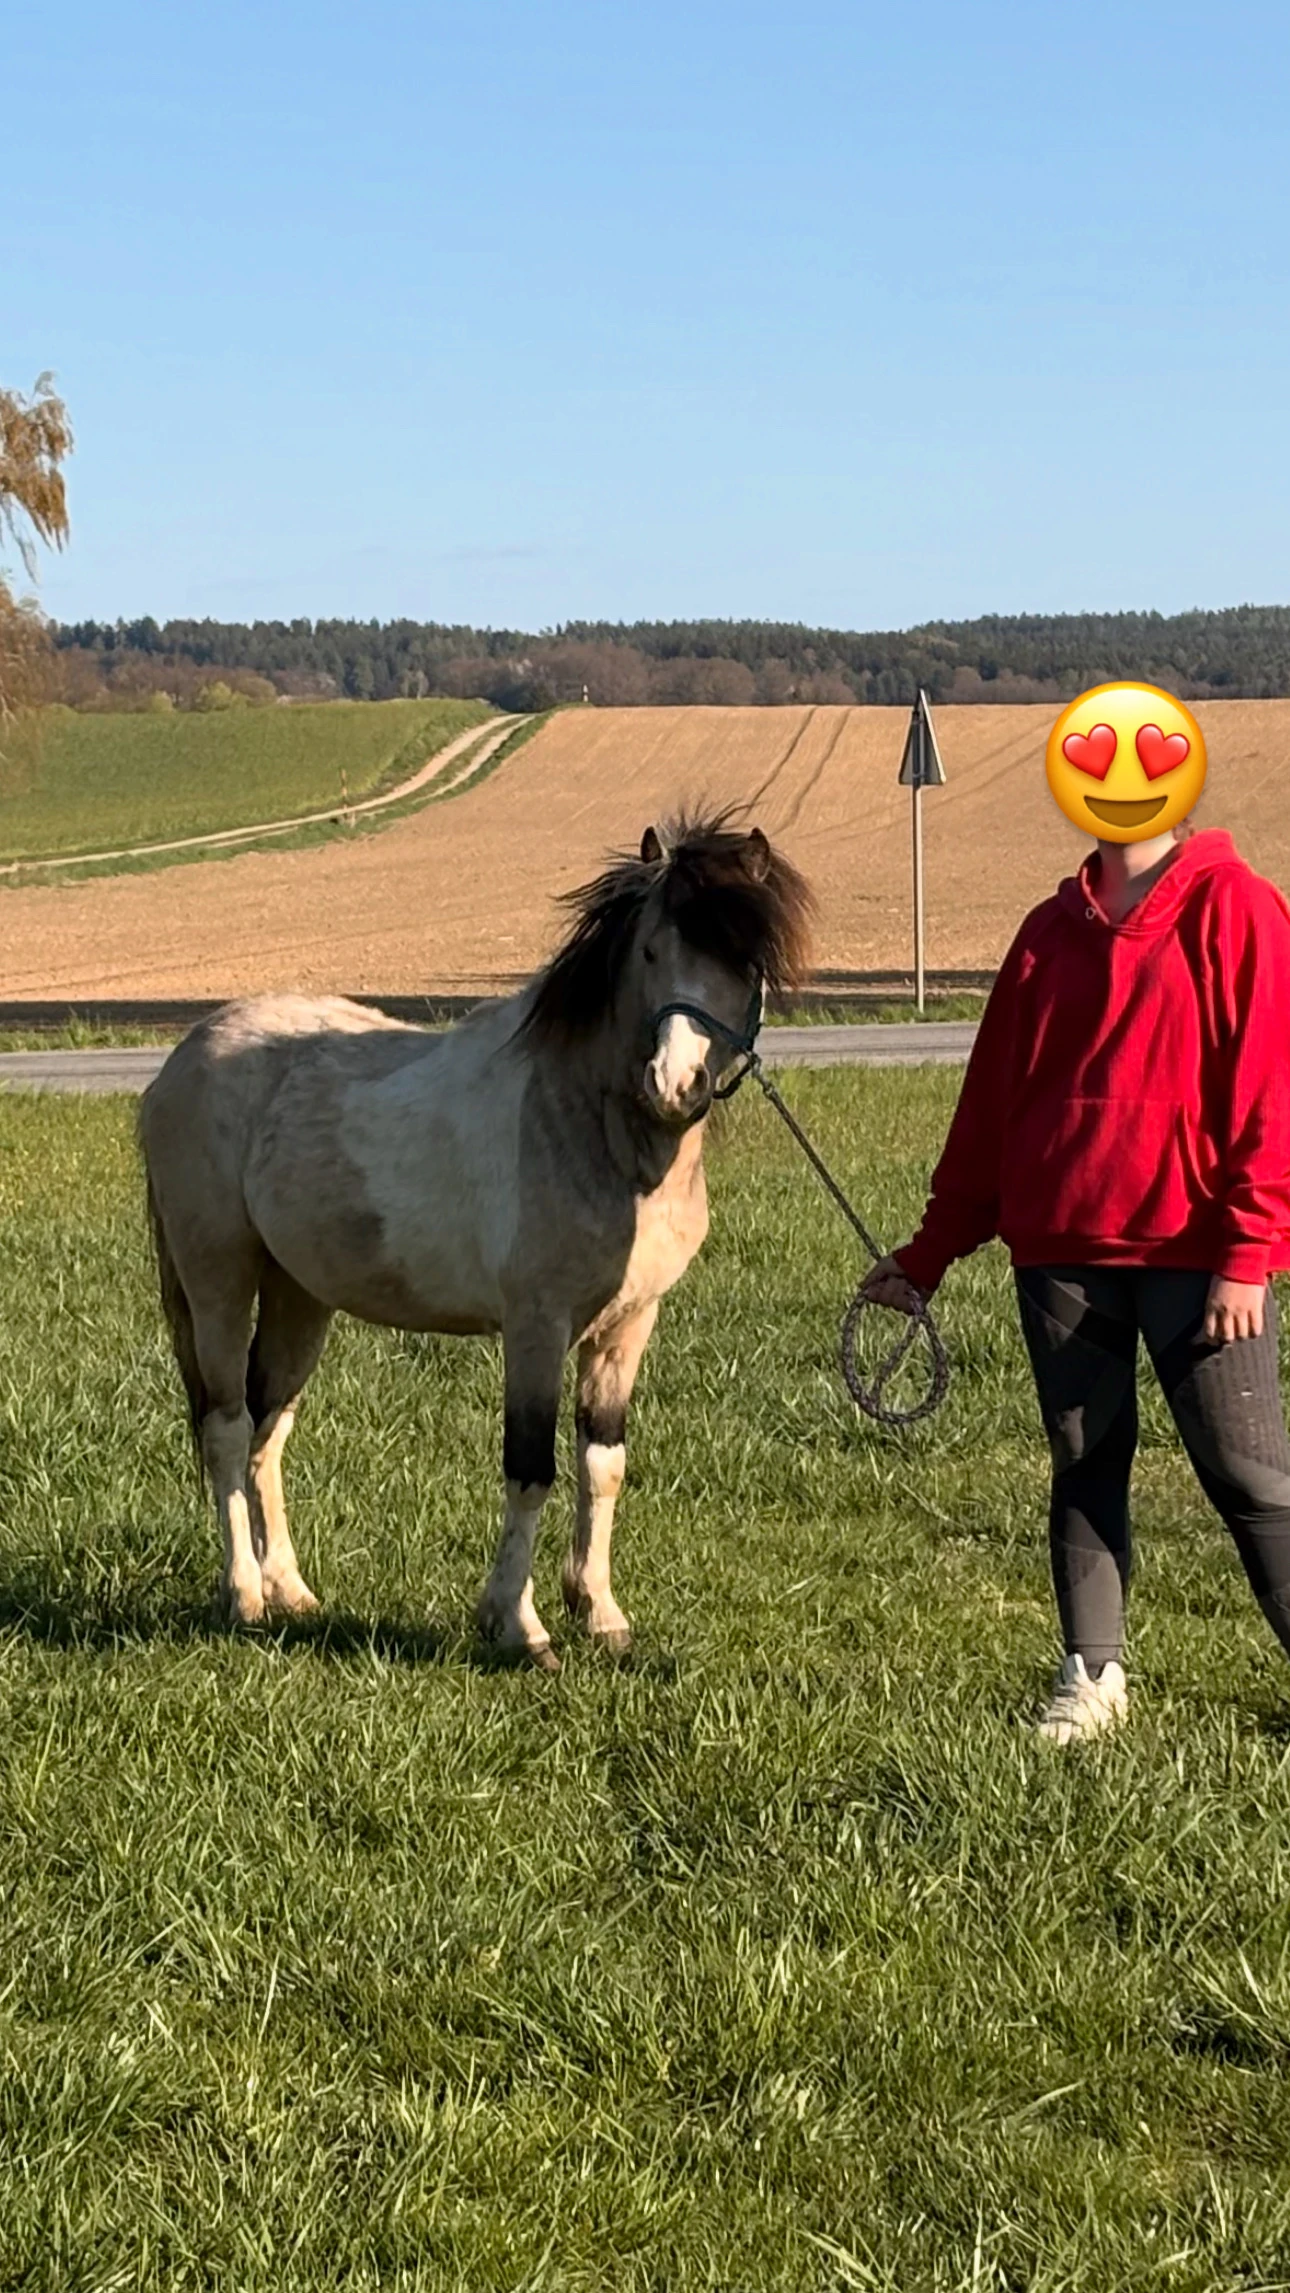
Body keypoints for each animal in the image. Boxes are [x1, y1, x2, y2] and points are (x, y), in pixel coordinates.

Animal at [138, 811, 813, 1668]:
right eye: (650, 951)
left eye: (741, 958)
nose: (675, 1082)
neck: (594, 1130)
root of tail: (180, 1060)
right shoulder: (536, 1326)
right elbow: (530, 1470)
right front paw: (519, 1626)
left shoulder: (628, 1326)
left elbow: (603, 1466)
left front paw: (601, 1612)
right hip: (218, 1278)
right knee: (225, 1429)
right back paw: (245, 1596)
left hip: (300, 1295)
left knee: (269, 1426)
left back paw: (289, 1587)